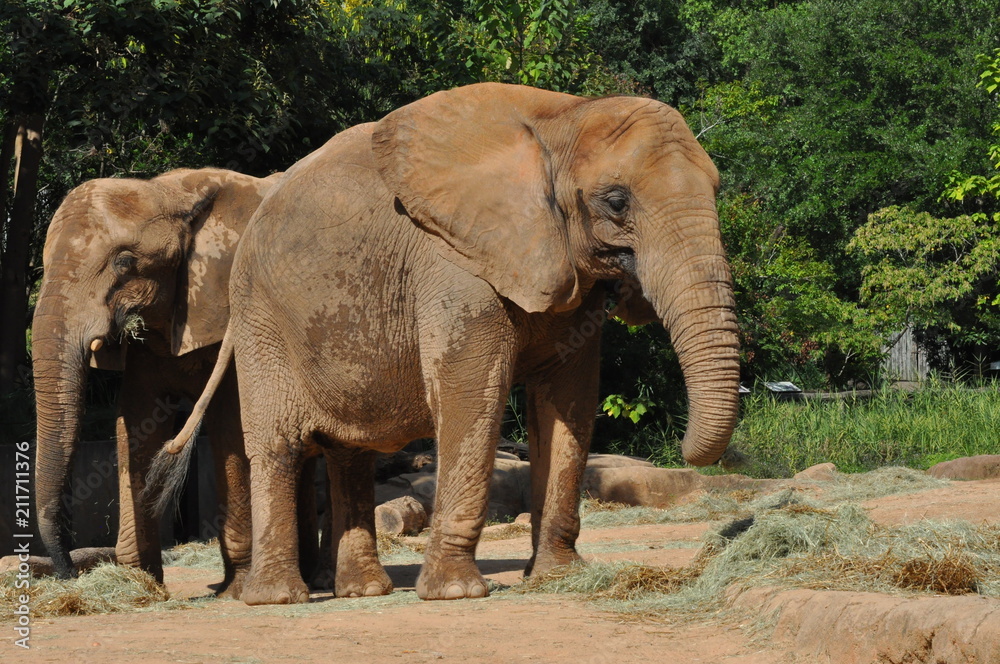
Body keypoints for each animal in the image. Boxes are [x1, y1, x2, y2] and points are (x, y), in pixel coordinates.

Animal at [31, 167, 286, 597]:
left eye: (124, 262)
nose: (69, 574)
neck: (170, 193)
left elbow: (229, 421)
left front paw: (237, 588)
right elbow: (136, 422)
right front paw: (142, 585)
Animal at [155, 82, 741, 605]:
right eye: (617, 202)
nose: (685, 446)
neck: (563, 118)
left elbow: (568, 400)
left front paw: (557, 578)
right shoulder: (453, 262)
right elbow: (470, 390)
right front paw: (458, 593)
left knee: (349, 453)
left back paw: (362, 591)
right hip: (260, 317)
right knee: (280, 445)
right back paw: (278, 598)